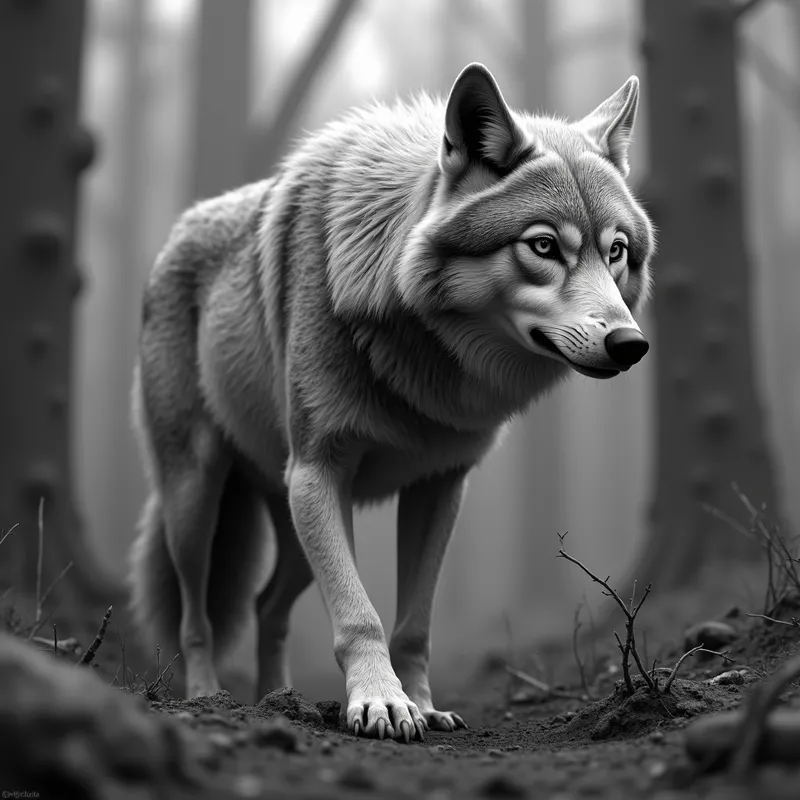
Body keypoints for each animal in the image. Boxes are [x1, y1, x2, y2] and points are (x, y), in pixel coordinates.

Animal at [129, 63, 655, 743]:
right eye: (543, 247)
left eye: (615, 250)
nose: (631, 345)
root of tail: (175, 233)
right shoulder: (320, 471)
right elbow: (361, 616)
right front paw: (381, 702)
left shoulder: (439, 486)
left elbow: (413, 624)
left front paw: (424, 707)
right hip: (200, 502)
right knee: (197, 616)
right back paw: (206, 696)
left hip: (293, 522)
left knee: (266, 605)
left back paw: (278, 700)